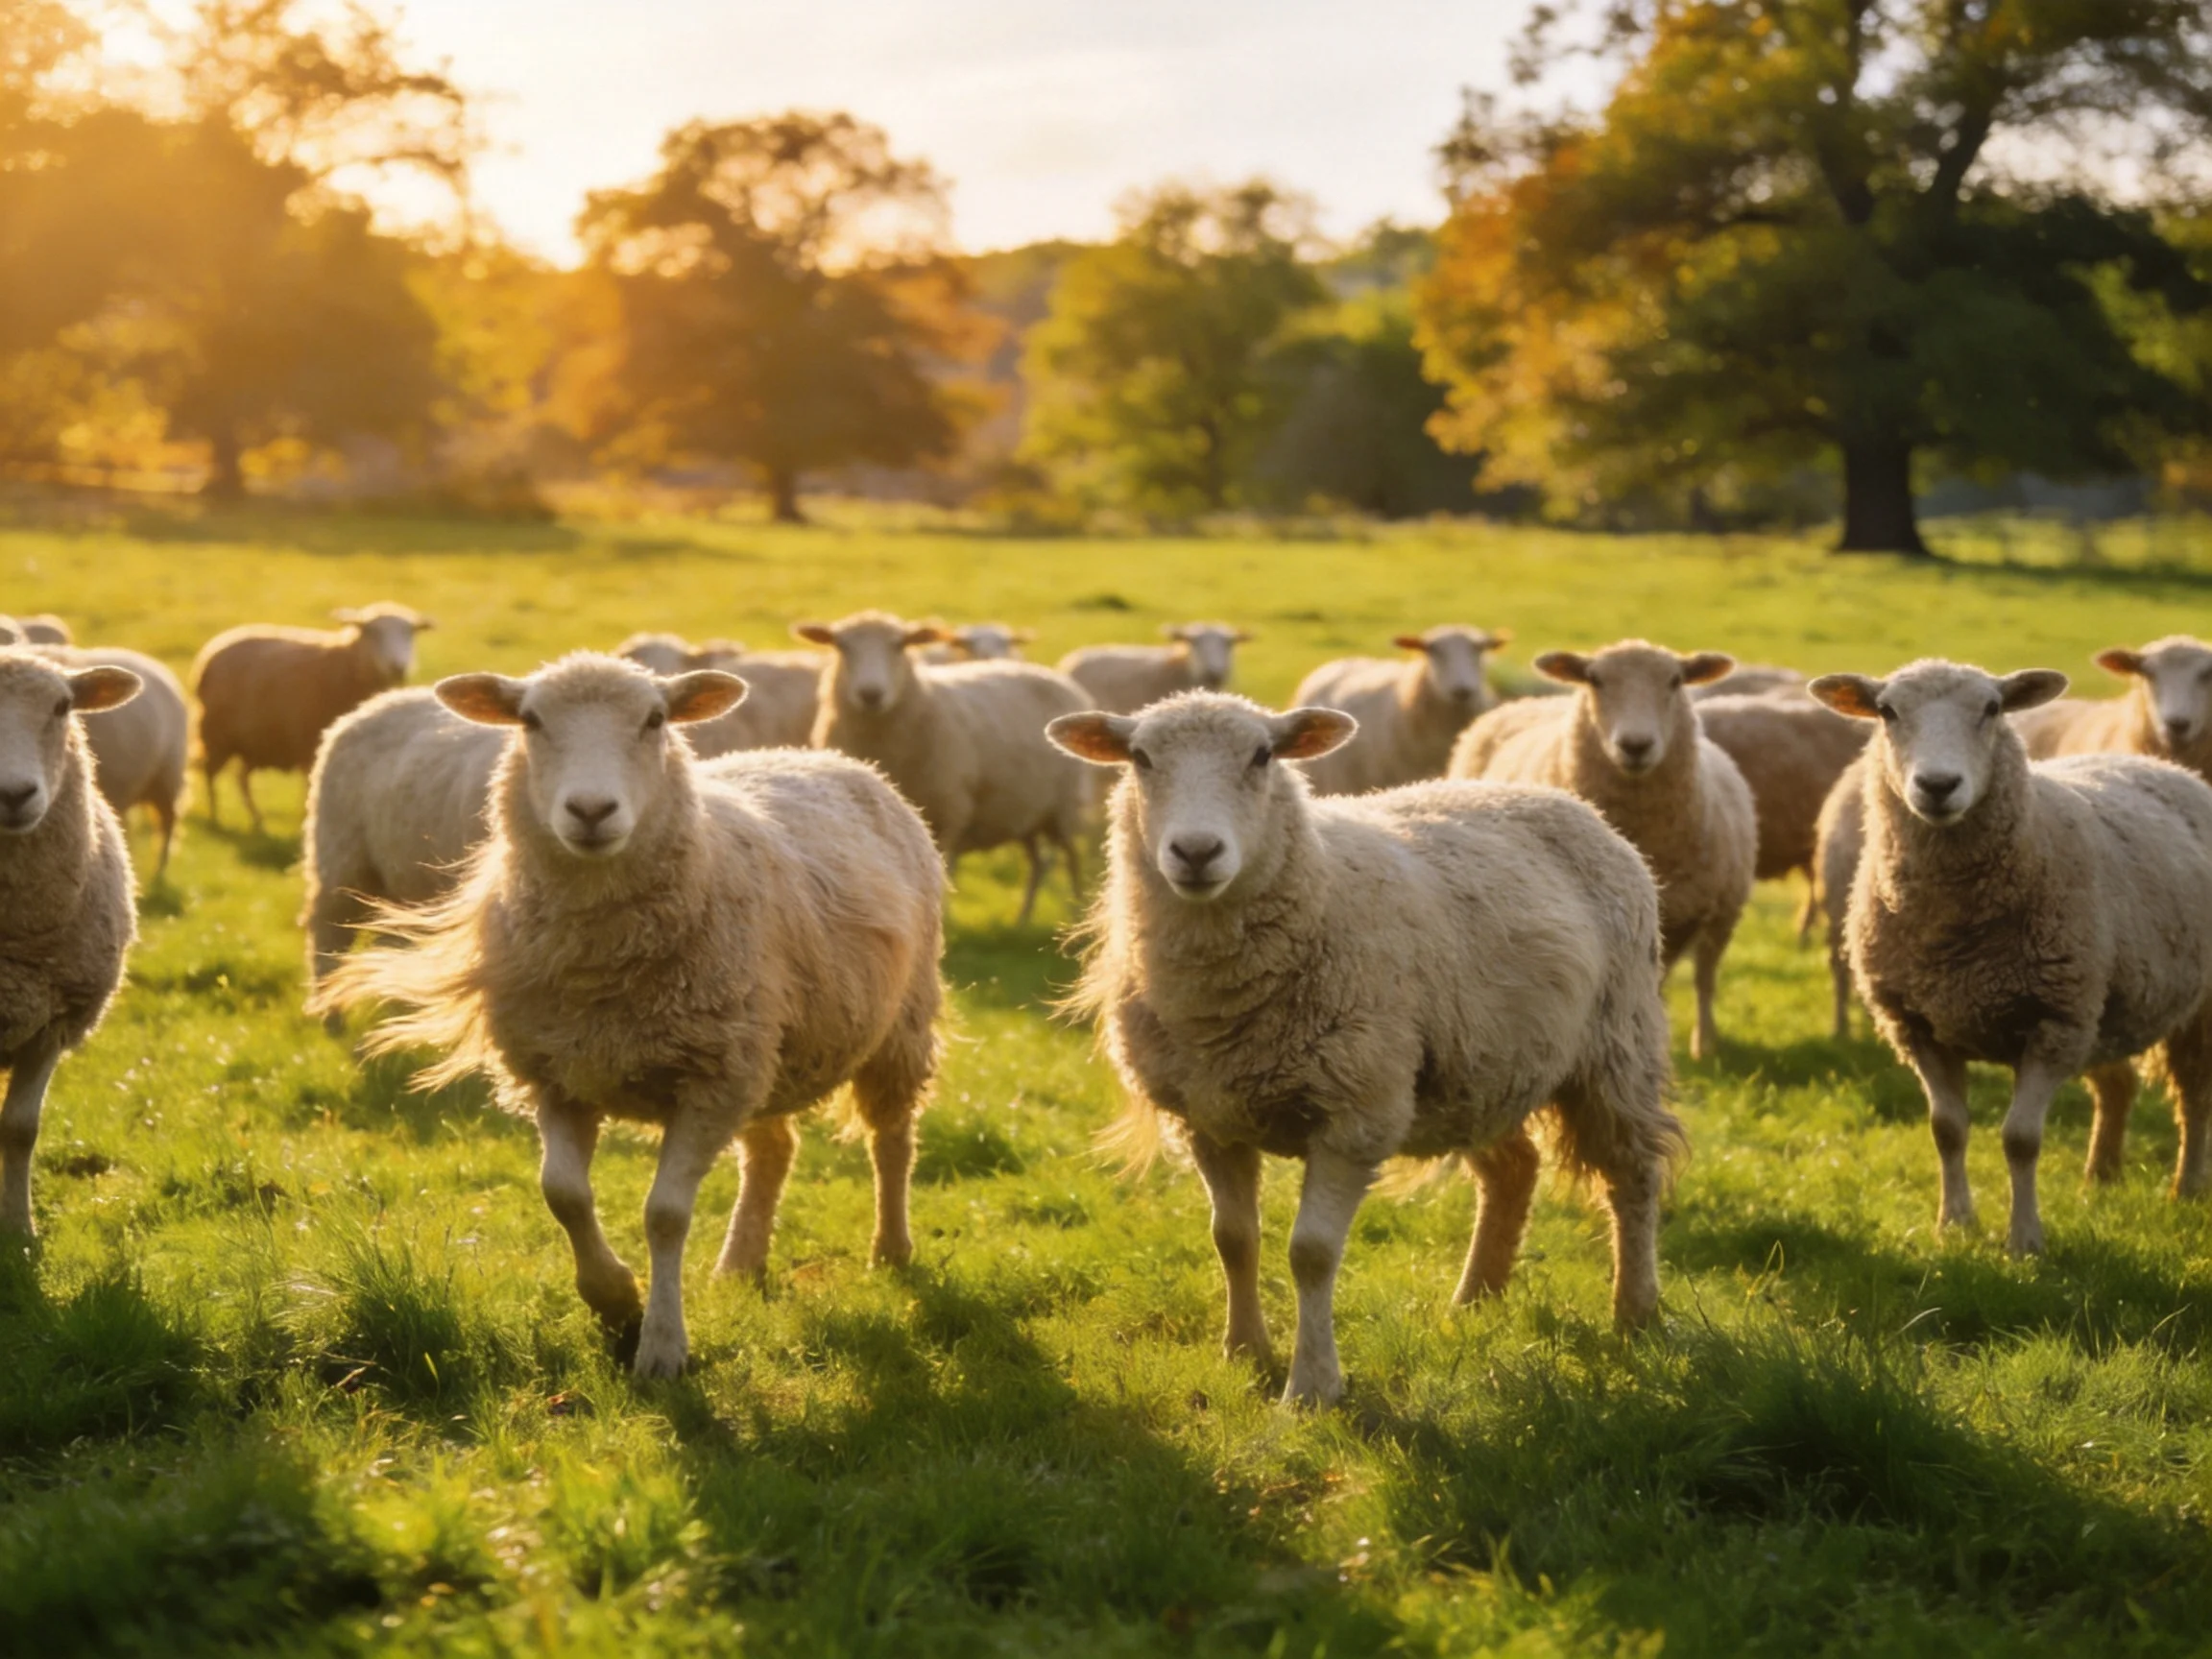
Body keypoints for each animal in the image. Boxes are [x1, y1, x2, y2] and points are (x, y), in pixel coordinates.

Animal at [191, 604, 435, 831]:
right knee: (210, 773)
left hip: (253, 742)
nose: (398, 667)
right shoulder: (309, 744)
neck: (348, 666)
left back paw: (257, 820)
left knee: (241, 779)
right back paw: (215, 817)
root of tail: (209, 653)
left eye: (411, 632)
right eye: (371, 631)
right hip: (217, 736)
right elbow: (310, 790)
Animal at [797, 611, 1093, 923]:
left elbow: (947, 865)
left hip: (1065, 807)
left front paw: (946, 918)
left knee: (1072, 858)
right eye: (841, 646)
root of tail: (1056, 677)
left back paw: (1076, 911)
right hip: (1025, 811)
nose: (870, 694)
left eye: (900, 645)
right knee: (1036, 864)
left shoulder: (949, 811)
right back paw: (1022, 919)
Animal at [1050, 692, 1682, 1405]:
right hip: (1482, 1067)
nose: (1195, 851)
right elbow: (1233, 1239)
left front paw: (1311, 1388)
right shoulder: (1209, 1118)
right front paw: (1243, 1353)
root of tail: (1566, 802)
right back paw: (1474, 1302)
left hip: (1616, 1044)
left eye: (1262, 756)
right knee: (1513, 1170)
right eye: (1140, 758)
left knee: (1633, 1175)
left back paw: (1635, 1311)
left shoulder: (1356, 1113)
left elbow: (1311, 1253)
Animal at [1450, 641, 1757, 1060]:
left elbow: (1701, 981)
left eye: (1675, 680)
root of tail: (1534, 699)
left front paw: (1702, 1046)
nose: (1635, 745)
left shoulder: (1712, 912)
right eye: (1595, 680)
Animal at [1809, 660, 2212, 1252]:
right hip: (2101, 1004)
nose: (1937, 785)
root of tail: (2163, 765)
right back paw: (2100, 1178)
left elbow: (2021, 1139)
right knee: (2118, 1087)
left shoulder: (2052, 1024)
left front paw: (2024, 1240)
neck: (1954, 945)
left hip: (2191, 1007)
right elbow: (1947, 1129)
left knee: (2194, 1094)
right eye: (1886, 711)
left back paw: (2186, 1188)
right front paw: (1954, 1223)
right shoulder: (1916, 1024)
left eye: (1993, 708)